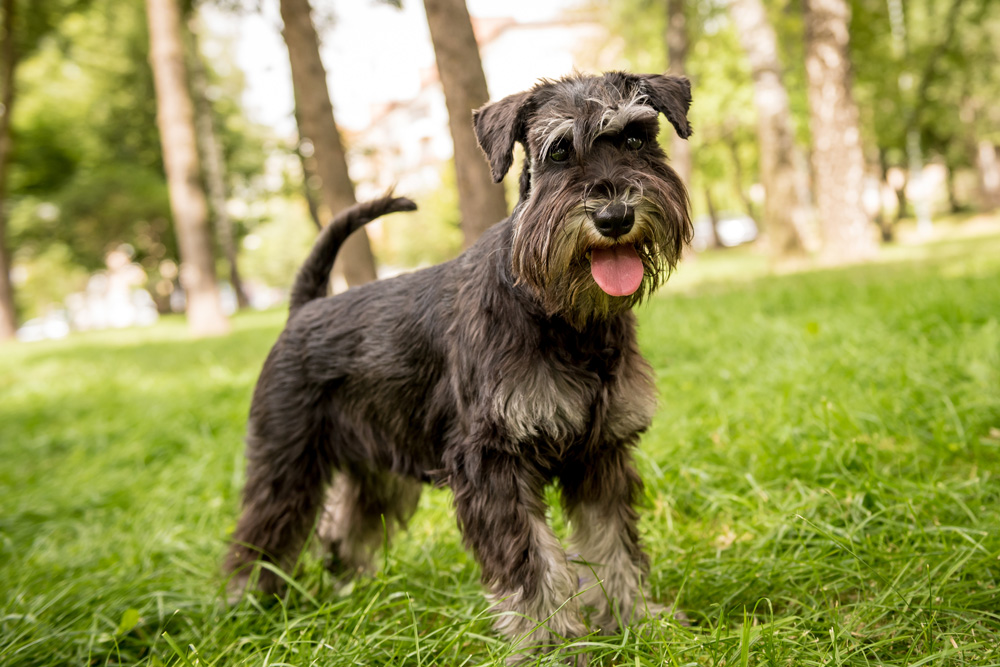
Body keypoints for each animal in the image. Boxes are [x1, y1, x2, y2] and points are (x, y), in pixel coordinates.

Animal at [225, 72, 696, 656]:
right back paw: (248, 607)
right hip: (287, 461)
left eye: (635, 137)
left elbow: (612, 546)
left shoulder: (600, 454)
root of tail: (303, 308)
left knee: (345, 526)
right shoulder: (491, 461)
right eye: (559, 151)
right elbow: (532, 564)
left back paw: (347, 588)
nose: (614, 217)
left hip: (376, 467)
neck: (564, 316)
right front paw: (552, 644)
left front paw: (636, 621)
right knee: (261, 534)